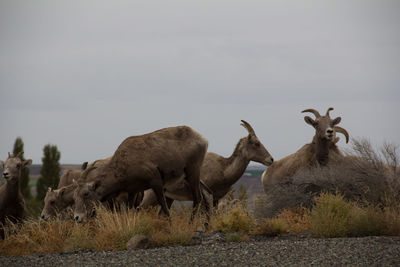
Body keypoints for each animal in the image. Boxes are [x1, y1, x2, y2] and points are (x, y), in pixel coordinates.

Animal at [73, 126, 208, 223]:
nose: (77, 217)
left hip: (192, 172)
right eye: (75, 196)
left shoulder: (156, 182)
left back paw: (191, 224)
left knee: (198, 198)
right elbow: (129, 209)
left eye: (86, 194)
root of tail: (203, 139)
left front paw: (170, 224)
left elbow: (163, 205)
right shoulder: (132, 191)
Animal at [139, 120, 274, 210]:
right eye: (256, 143)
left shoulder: (216, 200)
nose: (271, 159)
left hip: (168, 197)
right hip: (151, 196)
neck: (224, 170)